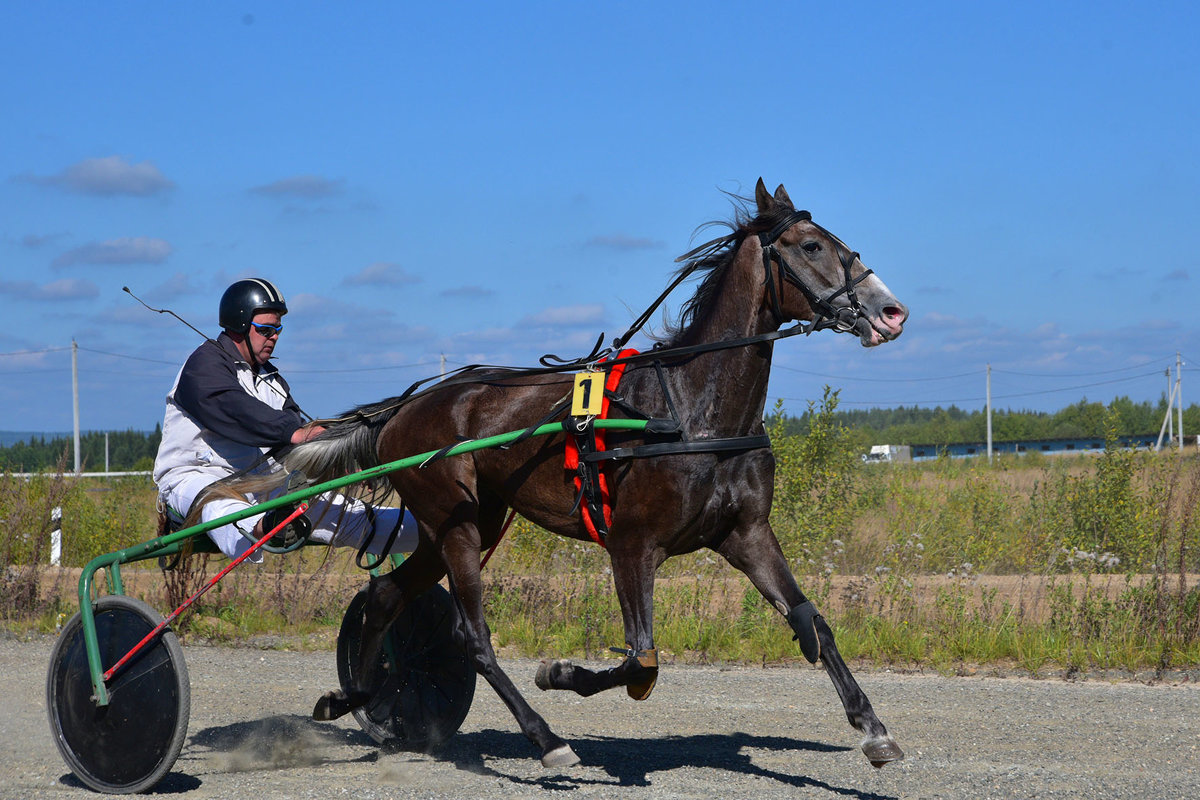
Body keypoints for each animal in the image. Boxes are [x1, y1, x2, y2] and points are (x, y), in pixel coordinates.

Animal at [199, 179, 907, 767]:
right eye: (811, 245)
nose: (892, 311)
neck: (691, 409)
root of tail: (407, 408)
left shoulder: (746, 534)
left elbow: (812, 621)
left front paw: (873, 730)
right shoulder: (632, 545)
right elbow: (641, 662)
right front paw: (560, 674)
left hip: (466, 523)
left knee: (386, 597)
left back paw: (357, 699)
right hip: (454, 524)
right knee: (471, 636)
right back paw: (545, 738)